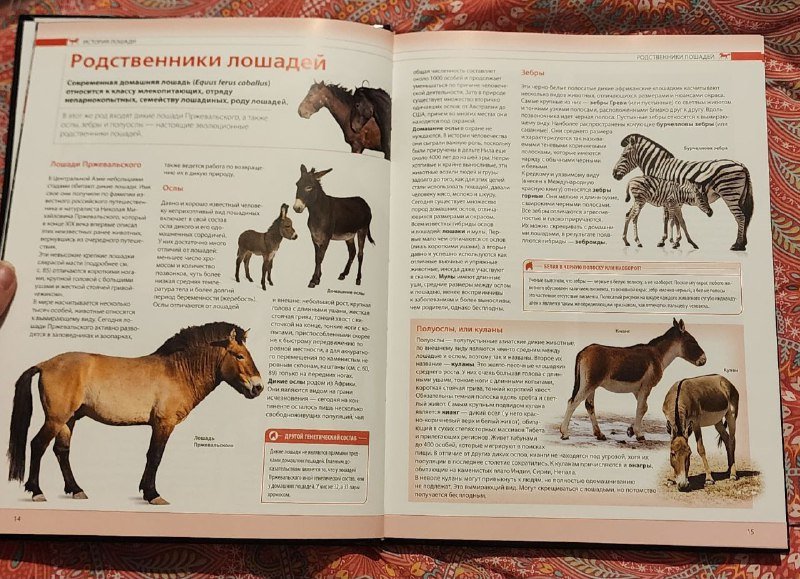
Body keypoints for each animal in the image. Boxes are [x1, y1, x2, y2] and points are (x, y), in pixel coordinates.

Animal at [7, 322, 262, 505]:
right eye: (239, 355)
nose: (258, 387)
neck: (177, 371)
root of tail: (44, 364)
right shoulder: (163, 424)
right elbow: (155, 456)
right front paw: (153, 494)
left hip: (68, 420)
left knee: (61, 451)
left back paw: (76, 490)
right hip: (56, 419)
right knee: (37, 445)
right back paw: (37, 492)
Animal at [560, 318, 706, 442]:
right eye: (692, 341)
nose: (704, 360)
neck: (657, 355)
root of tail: (583, 351)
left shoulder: (638, 390)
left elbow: (643, 407)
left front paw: (631, 430)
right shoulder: (646, 387)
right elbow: (641, 408)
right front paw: (639, 434)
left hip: (592, 385)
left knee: (589, 406)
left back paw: (599, 434)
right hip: (589, 384)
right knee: (572, 402)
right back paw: (564, 433)